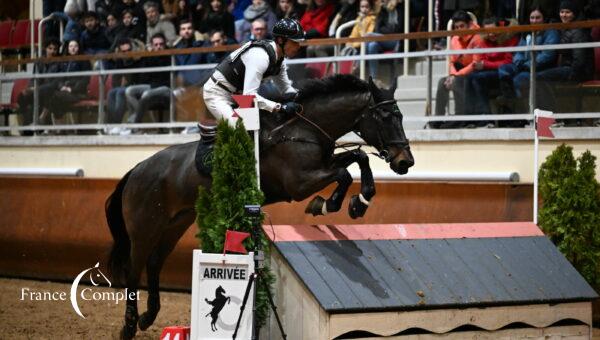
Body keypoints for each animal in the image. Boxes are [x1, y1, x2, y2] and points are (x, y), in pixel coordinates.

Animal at [105, 73, 412, 338]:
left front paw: (358, 203)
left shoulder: (323, 165)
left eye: (400, 115)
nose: (405, 162)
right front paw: (326, 204)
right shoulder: (300, 183)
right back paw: (129, 325)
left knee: (155, 262)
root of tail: (137, 169)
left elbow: (359, 158)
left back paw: (148, 317)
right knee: (135, 267)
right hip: (145, 227)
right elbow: (345, 173)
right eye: (386, 116)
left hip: (175, 223)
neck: (303, 129)